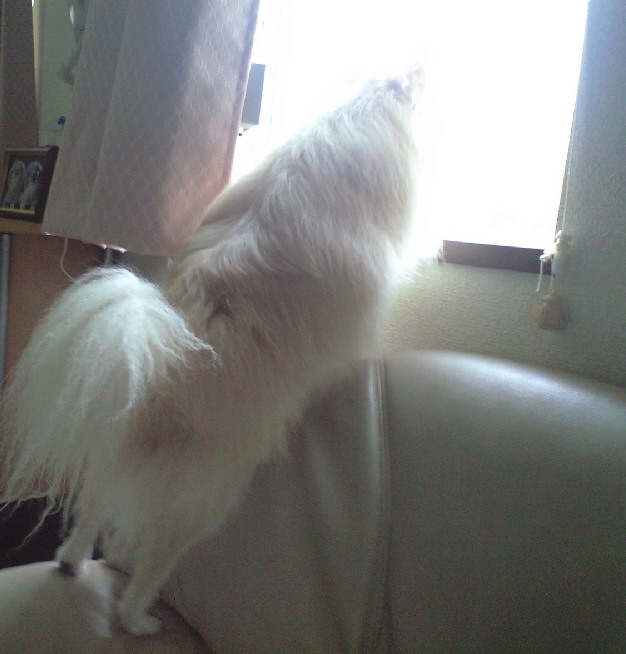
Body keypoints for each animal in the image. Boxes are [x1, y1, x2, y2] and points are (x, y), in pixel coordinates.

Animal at [0, 70, 422, 636]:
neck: (365, 107)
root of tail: (161, 376)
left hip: (125, 459)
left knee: (92, 506)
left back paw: (70, 561)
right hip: (209, 494)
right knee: (156, 557)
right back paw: (136, 620)